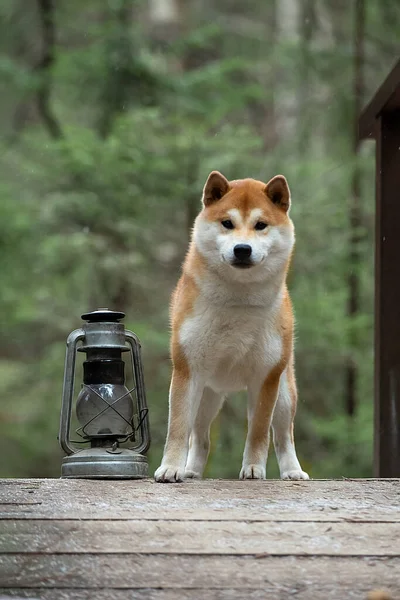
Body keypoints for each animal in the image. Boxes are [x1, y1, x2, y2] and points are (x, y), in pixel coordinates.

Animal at [155, 169, 308, 482]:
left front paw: (253, 468)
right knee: (200, 438)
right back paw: (190, 471)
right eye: (227, 223)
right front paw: (171, 468)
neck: (238, 302)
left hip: (284, 392)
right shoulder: (187, 371)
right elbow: (177, 429)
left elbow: (259, 433)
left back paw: (292, 471)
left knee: (283, 436)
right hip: (206, 395)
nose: (242, 249)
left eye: (260, 225)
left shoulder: (265, 378)